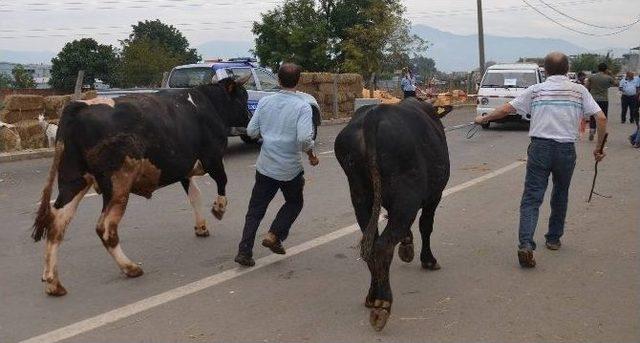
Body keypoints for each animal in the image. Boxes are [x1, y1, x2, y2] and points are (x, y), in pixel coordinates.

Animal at [31, 76, 250, 296]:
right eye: (243, 96)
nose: (249, 117)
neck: (208, 102)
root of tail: (79, 106)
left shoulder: (184, 168)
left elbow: (195, 196)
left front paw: (201, 227)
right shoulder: (213, 158)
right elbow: (222, 181)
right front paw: (219, 209)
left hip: (73, 180)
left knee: (57, 223)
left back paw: (53, 282)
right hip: (118, 185)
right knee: (105, 227)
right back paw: (130, 268)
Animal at [332, 99, 452, 330]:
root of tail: (374, 115)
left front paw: (407, 246)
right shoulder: (435, 195)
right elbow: (426, 226)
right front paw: (427, 260)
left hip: (361, 197)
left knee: (371, 244)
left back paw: (372, 296)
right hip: (407, 198)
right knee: (383, 246)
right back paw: (382, 304)